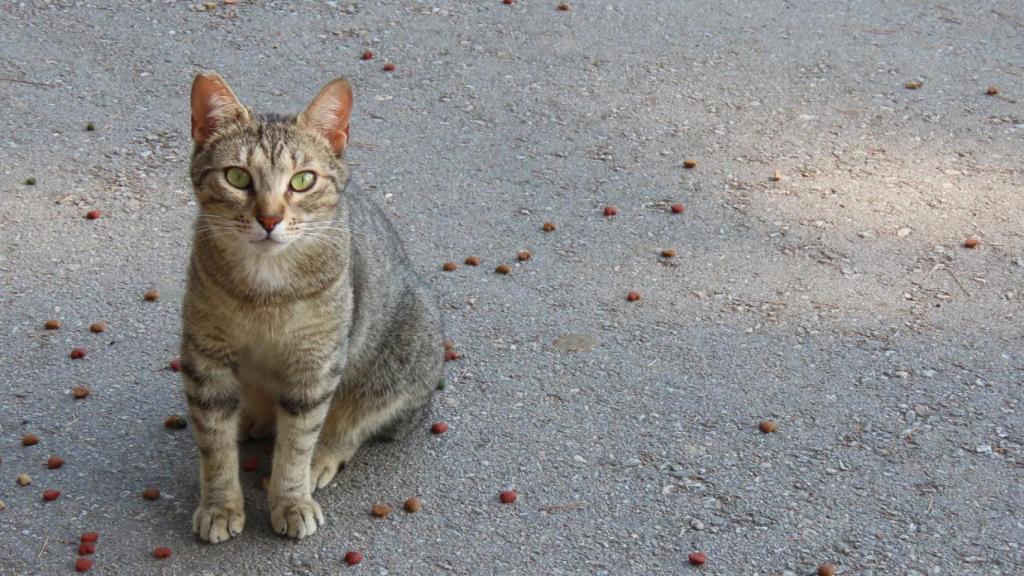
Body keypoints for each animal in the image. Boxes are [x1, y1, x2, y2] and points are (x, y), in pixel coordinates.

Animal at [181, 70, 444, 537]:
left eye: (302, 180)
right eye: (237, 177)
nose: (269, 218)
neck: (265, 288)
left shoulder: (315, 367)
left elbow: (296, 446)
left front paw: (291, 500)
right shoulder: (205, 358)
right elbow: (213, 445)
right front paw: (220, 505)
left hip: (401, 354)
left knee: (353, 423)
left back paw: (322, 456)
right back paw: (253, 418)